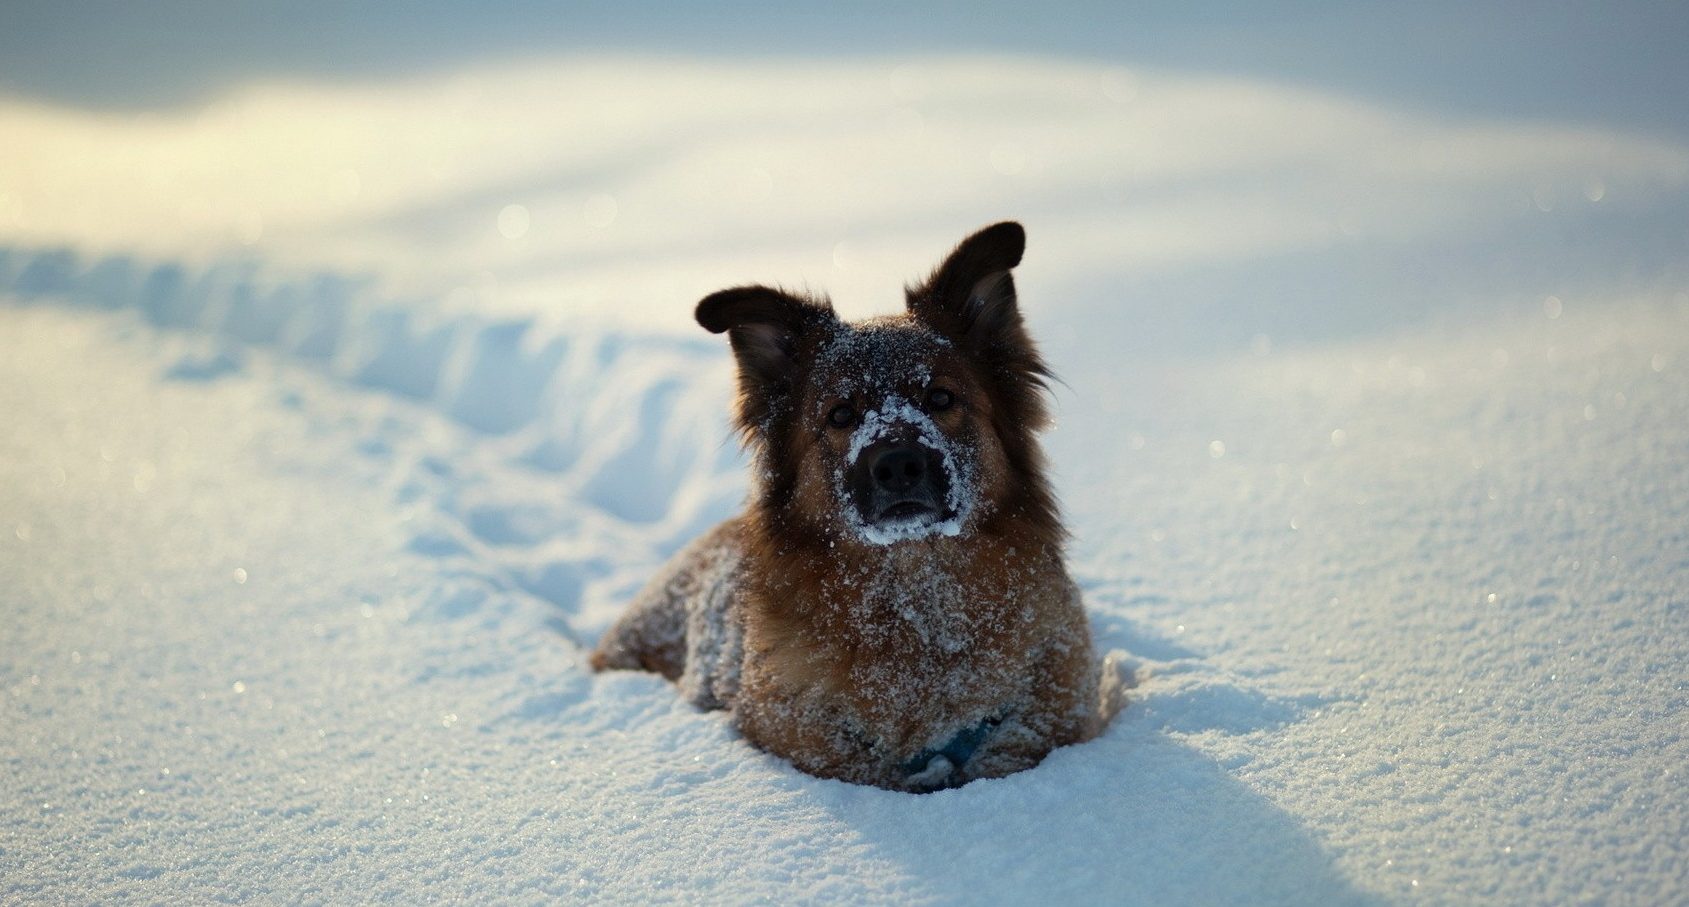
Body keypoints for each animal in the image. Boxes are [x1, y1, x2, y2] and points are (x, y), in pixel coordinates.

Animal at [594, 222, 1121, 787]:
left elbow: (1016, 747)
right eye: (841, 414)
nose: (899, 464)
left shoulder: (1055, 703)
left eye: (941, 398)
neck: (917, 602)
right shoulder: (792, 727)